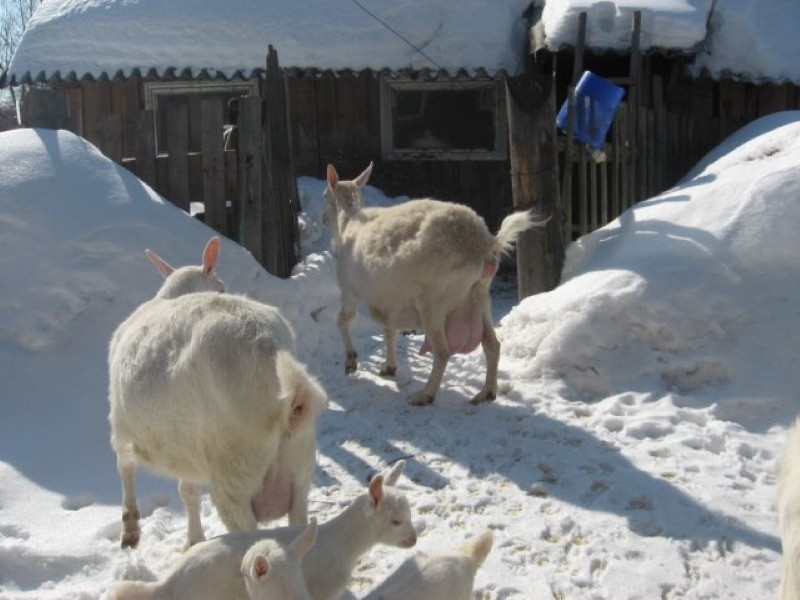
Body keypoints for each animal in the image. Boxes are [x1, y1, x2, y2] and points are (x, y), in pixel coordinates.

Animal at [108, 237, 326, 552]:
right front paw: (193, 540)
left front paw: (130, 530)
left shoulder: (122, 426)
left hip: (235, 471)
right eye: (222, 286)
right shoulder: (187, 444)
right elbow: (187, 490)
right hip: (300, 465)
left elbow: (126, 466)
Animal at [322, 164, 536, 406]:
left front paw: (350, 362)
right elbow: (389, 331)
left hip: (434, 303)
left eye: (325, 195)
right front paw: (389, 367)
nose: (322, 219)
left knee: (442, 351)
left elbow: (343, 320)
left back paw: (425, 394)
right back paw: (487, 392)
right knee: (492, 344)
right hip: (479, 295)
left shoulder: (350, 292)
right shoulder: (391, 300)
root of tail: (483, 243)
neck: (347, 223)